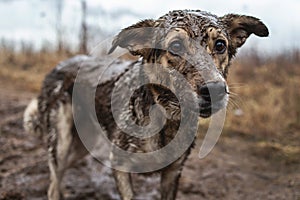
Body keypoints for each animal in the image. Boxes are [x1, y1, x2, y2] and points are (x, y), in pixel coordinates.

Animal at [23, 9, 268, 198]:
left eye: (220, 45)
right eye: (176, 46)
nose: (215, 90)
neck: (164, 116)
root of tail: (58, 66)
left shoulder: (172, 173)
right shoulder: (120, 166)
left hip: (81, 146)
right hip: (61, 144)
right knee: (53, 184)